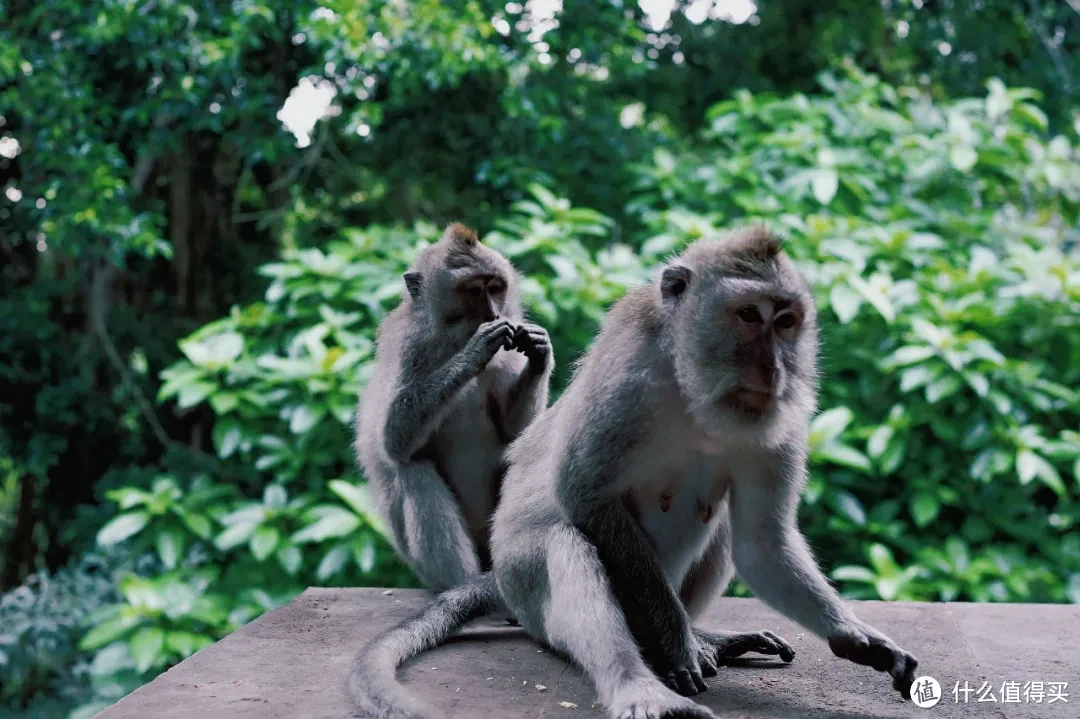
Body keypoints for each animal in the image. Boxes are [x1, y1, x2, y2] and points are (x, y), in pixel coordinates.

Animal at [356, 221, 552, 591]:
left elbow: (514, 432)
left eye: (495, 287)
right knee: (413, 468)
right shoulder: (409, 348)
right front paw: (474, 352)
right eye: (472, 290)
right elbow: (394, 438)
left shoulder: (506, 357)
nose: (493, 313)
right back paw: (463, 586)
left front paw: (539, 351)